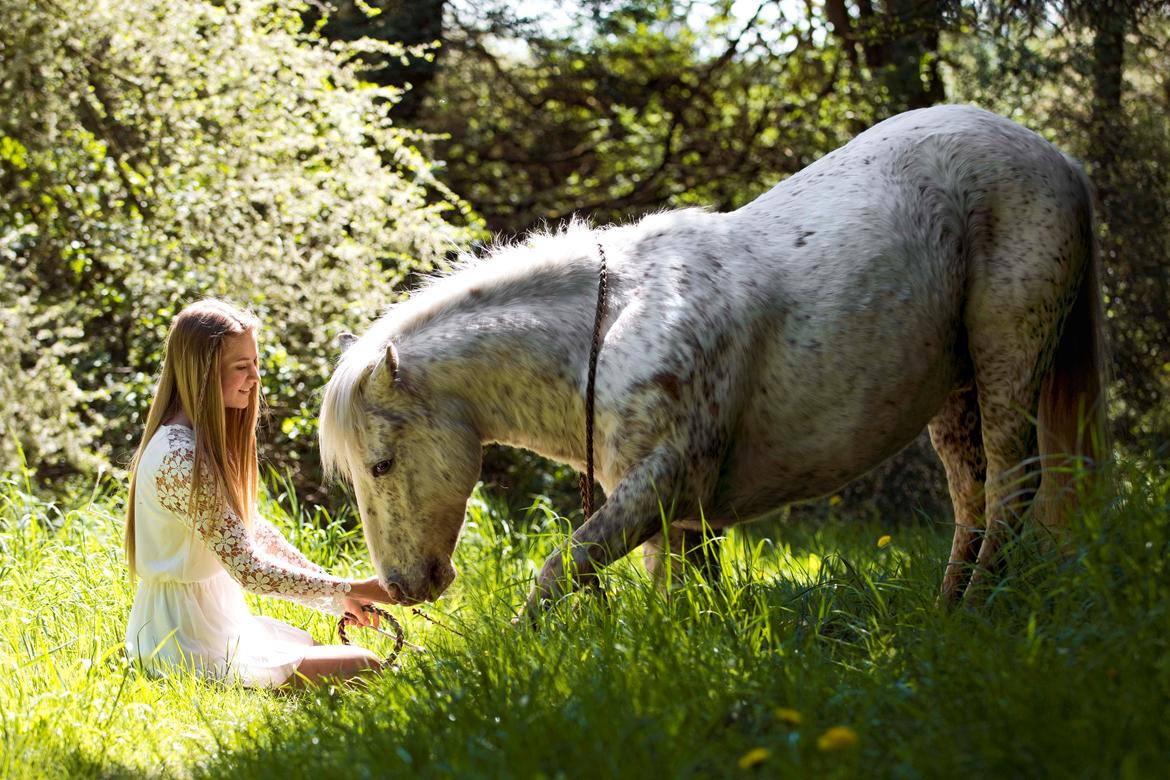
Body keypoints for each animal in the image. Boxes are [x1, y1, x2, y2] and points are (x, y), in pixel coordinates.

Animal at [318, 105, 1104, 617]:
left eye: (381, 465)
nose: (402, 586)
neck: (609, 333)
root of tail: (1059, 161)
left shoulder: (660, 485)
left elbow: (558, 570)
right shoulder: (678, 518)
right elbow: (685, 599)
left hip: (1008, 358)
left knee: (1011, 488)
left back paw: (977, 607)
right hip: (954, 392)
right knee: (972, 500)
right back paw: (946, 611)